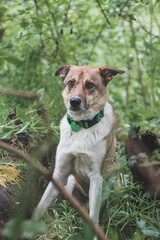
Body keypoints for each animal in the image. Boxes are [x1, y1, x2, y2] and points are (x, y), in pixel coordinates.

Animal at [32, 64, 125, 239]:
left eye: (90, 85)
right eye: (71, 83)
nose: (74, 101)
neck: (81, 126)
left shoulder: (96, 178)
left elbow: (94, 218)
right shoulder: (60, 173)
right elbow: (40, 205)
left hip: (116, 186)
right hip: (68, 184)